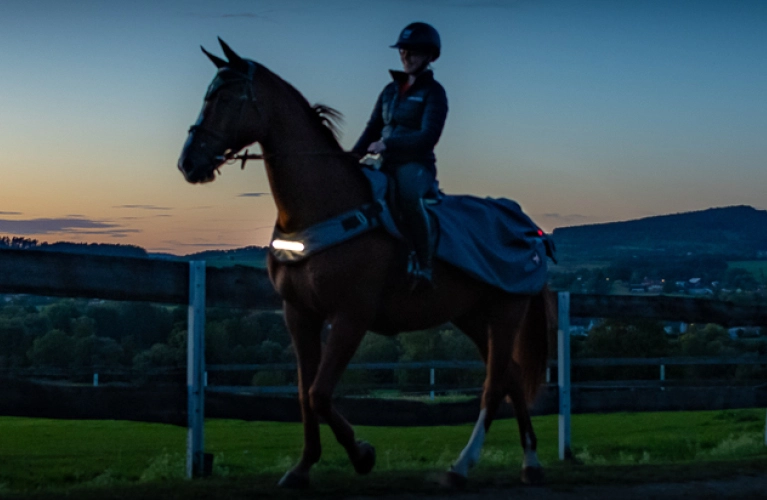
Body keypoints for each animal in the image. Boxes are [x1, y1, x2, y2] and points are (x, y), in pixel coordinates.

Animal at [178, 39, 555, 489]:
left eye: (226, 97)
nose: (188, 163)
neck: (321, 208)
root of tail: (529, 228)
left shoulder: (350, 317)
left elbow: (320, 394)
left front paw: (362, 455)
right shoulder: (299, 314)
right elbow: (304, 394)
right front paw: (302, 468)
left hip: (504, 314)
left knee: (494, 386)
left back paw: (462, 467)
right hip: (473, 316)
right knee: (512, 377)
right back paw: (530, 462)